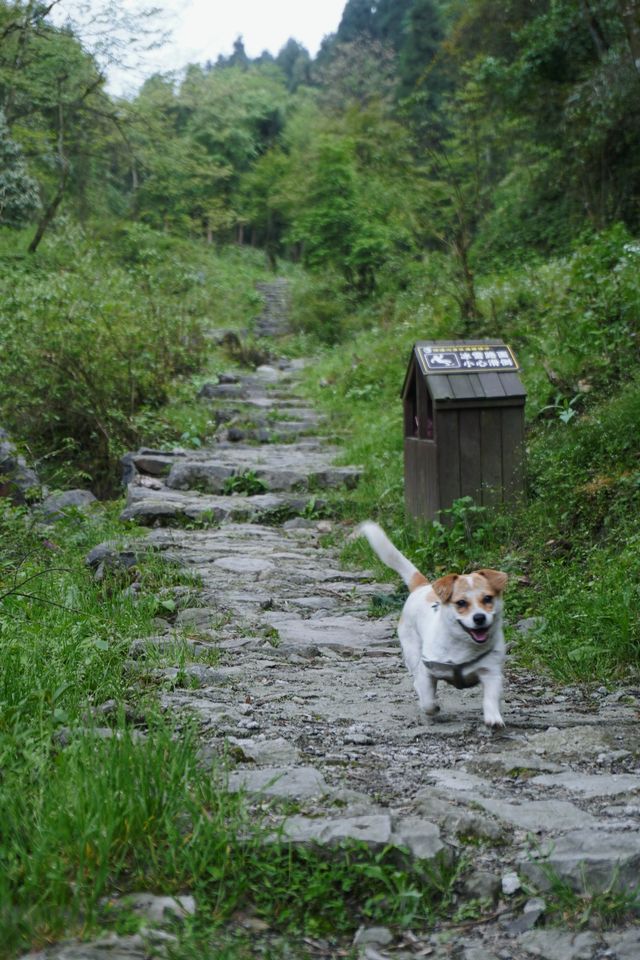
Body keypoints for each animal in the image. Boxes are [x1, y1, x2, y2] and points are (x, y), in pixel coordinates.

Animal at [358, 524, 508, 728]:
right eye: (461, 603)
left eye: (487, 599)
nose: (479, 617)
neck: (464, 647)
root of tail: (422, 586)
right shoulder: (427, 672)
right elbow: (428, 699)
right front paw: (432, 707)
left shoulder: (491, 672)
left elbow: (490, 698)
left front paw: (493, 718)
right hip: (412, 653)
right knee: (417, 683)